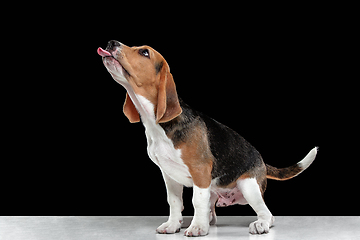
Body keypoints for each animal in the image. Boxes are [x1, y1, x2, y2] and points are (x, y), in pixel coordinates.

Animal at [96, 39, 318, 236]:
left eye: (144, 52)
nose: (110, 43)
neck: (157, 126)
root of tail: (262, 161)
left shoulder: (200, 170)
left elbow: (197, 200)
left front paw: (197, 228)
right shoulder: (168, 175)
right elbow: (174, 201)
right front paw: (173, 224)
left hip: (249, 186)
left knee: (268, 214)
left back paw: (259, 224)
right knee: (212, 212)